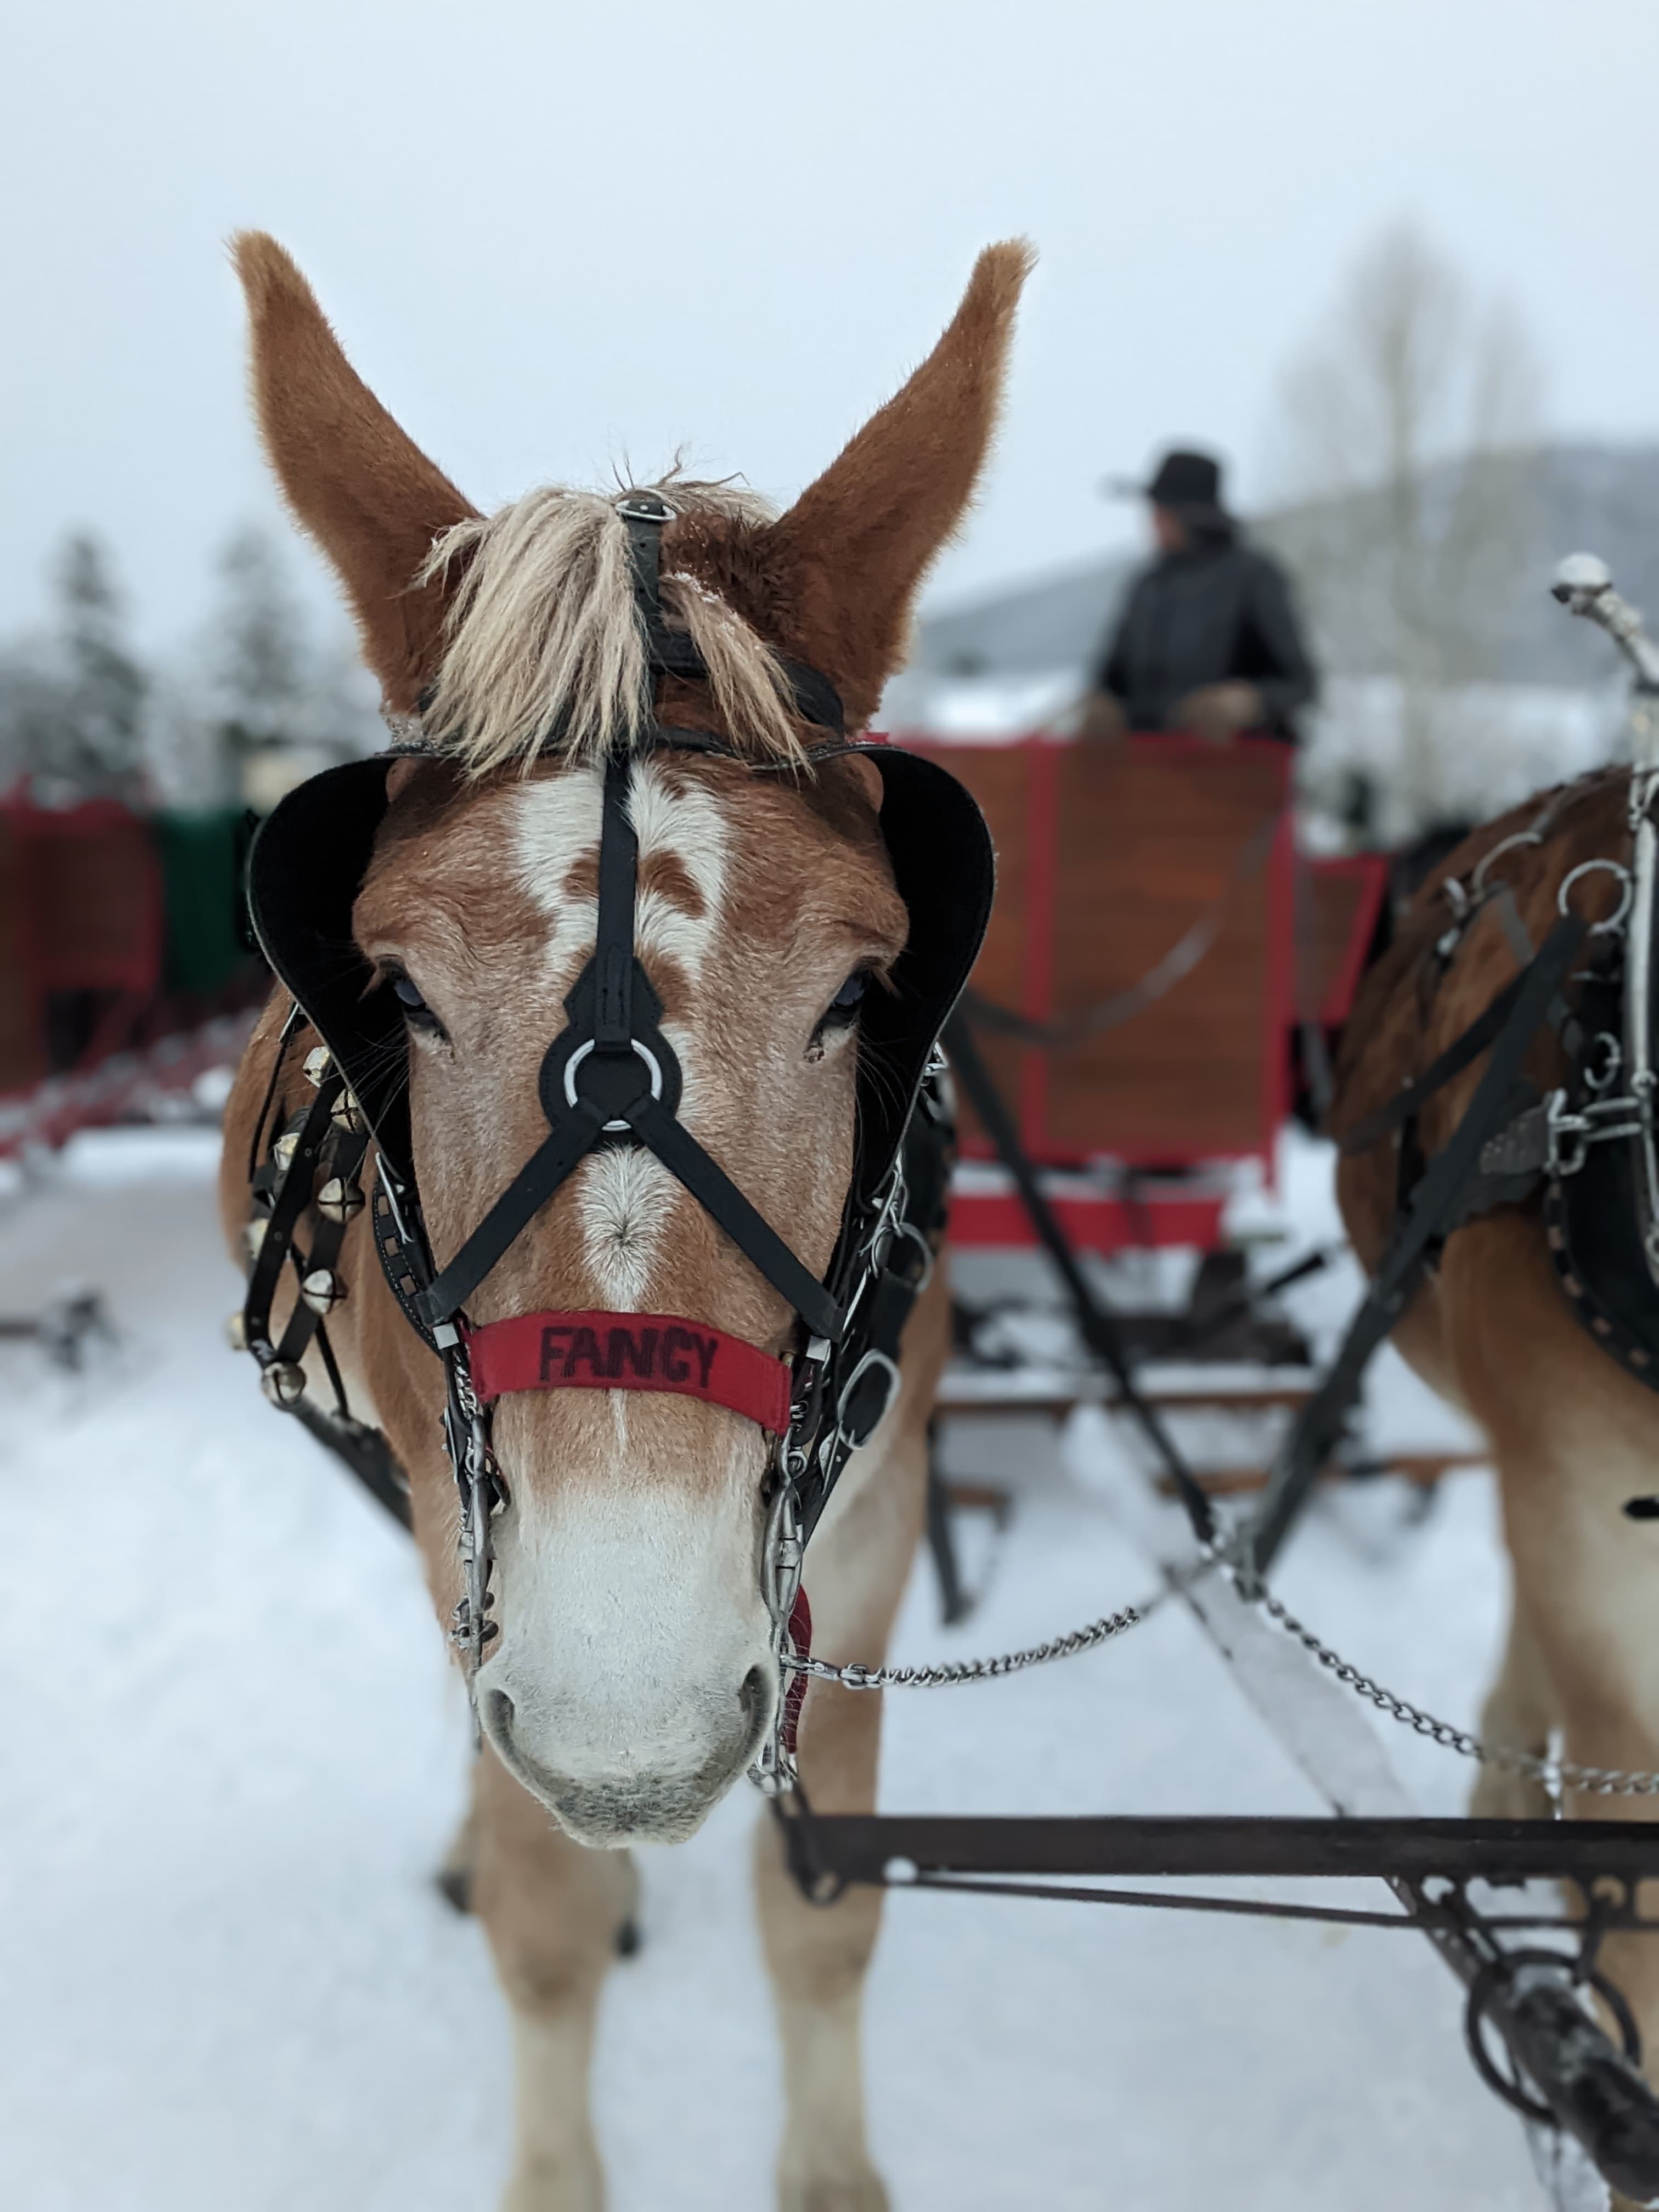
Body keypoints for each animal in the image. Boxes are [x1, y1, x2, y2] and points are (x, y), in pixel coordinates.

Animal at [216, 231, 1029, 2211]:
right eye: (398, 989)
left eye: (863, 988)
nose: (627, 1721)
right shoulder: (475, 1545)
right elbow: (546, 1921)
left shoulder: (863, 1554)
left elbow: (824, 1911)